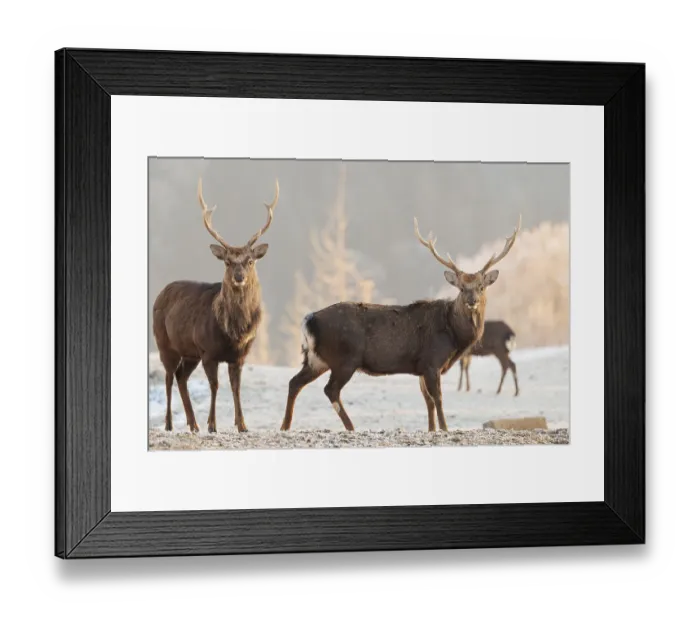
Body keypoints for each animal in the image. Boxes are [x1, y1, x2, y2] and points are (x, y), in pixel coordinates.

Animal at [152, 177, 279, 434]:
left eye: (250, 261)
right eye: (228, 262)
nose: (239, 277)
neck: (233, 333)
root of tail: (160, 294)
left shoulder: (239, 356)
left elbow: (236, 388)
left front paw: (242, 425)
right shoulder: (208, 351)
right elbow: (215, 386)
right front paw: (212, 424)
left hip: (189, 352)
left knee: (181, 376)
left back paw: (193, 424)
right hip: (164, 343)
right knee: (169, 377)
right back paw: (170, 424)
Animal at [281, 215, 521, 433]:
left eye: (481, 286)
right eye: (461, 288)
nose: (472, 301)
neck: (454, 336)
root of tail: (309, 319)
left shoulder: (421, 366)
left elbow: (428, 401)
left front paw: (432, 429)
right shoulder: (432, 361)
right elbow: (438, 398)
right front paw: (444, 429)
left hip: (316, 358)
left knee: (295, 382)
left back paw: (285, 425)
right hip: (344, 358)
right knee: (330, 390)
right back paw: (351, 427)